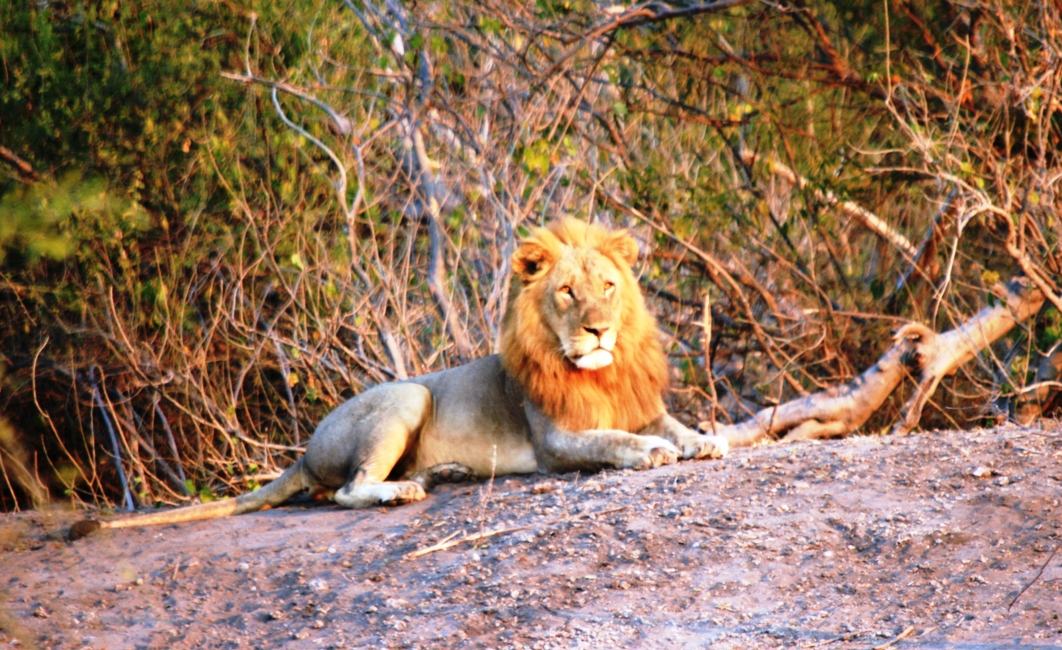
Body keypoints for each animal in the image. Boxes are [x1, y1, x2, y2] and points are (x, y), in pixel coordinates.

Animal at [69, 218, 727, 540]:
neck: (600, 375)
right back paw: (401, 491)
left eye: (609, 287)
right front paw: (652, 451)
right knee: (346, 491)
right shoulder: (555, 441)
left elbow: (674, 425)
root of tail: (304, 451)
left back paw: (441, 474)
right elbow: (613, 439)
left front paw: (705, 440)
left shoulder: (639, 405)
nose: (598, 331)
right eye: (567, 291)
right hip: (409, 393)